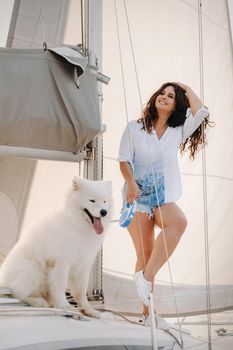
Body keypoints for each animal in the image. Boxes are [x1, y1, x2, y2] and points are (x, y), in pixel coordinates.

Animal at [0, 176, 112, 318]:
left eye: (105, 201)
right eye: (92, 200)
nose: (104, 212)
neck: (77, 225)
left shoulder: (83, 265)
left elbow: (81, 292)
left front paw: (89, 310)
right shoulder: (60, 263)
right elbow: (60, 286)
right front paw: (65, 306)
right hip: (33, 269)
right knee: (17, 293)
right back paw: (39, 302)